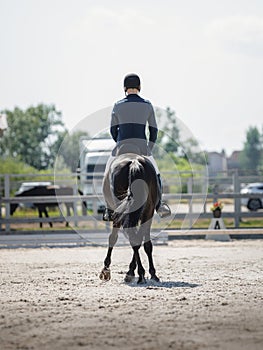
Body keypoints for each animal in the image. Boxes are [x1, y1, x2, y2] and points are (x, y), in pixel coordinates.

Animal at [99, 154, 161, 284]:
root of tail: (134, 162)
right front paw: (134, 270)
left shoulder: (118, 216)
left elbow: (113, 238)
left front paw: (106, 269)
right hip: (148, 211)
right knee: (144, 242)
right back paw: (150, 274)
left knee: (132, 238)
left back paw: (139, 274)